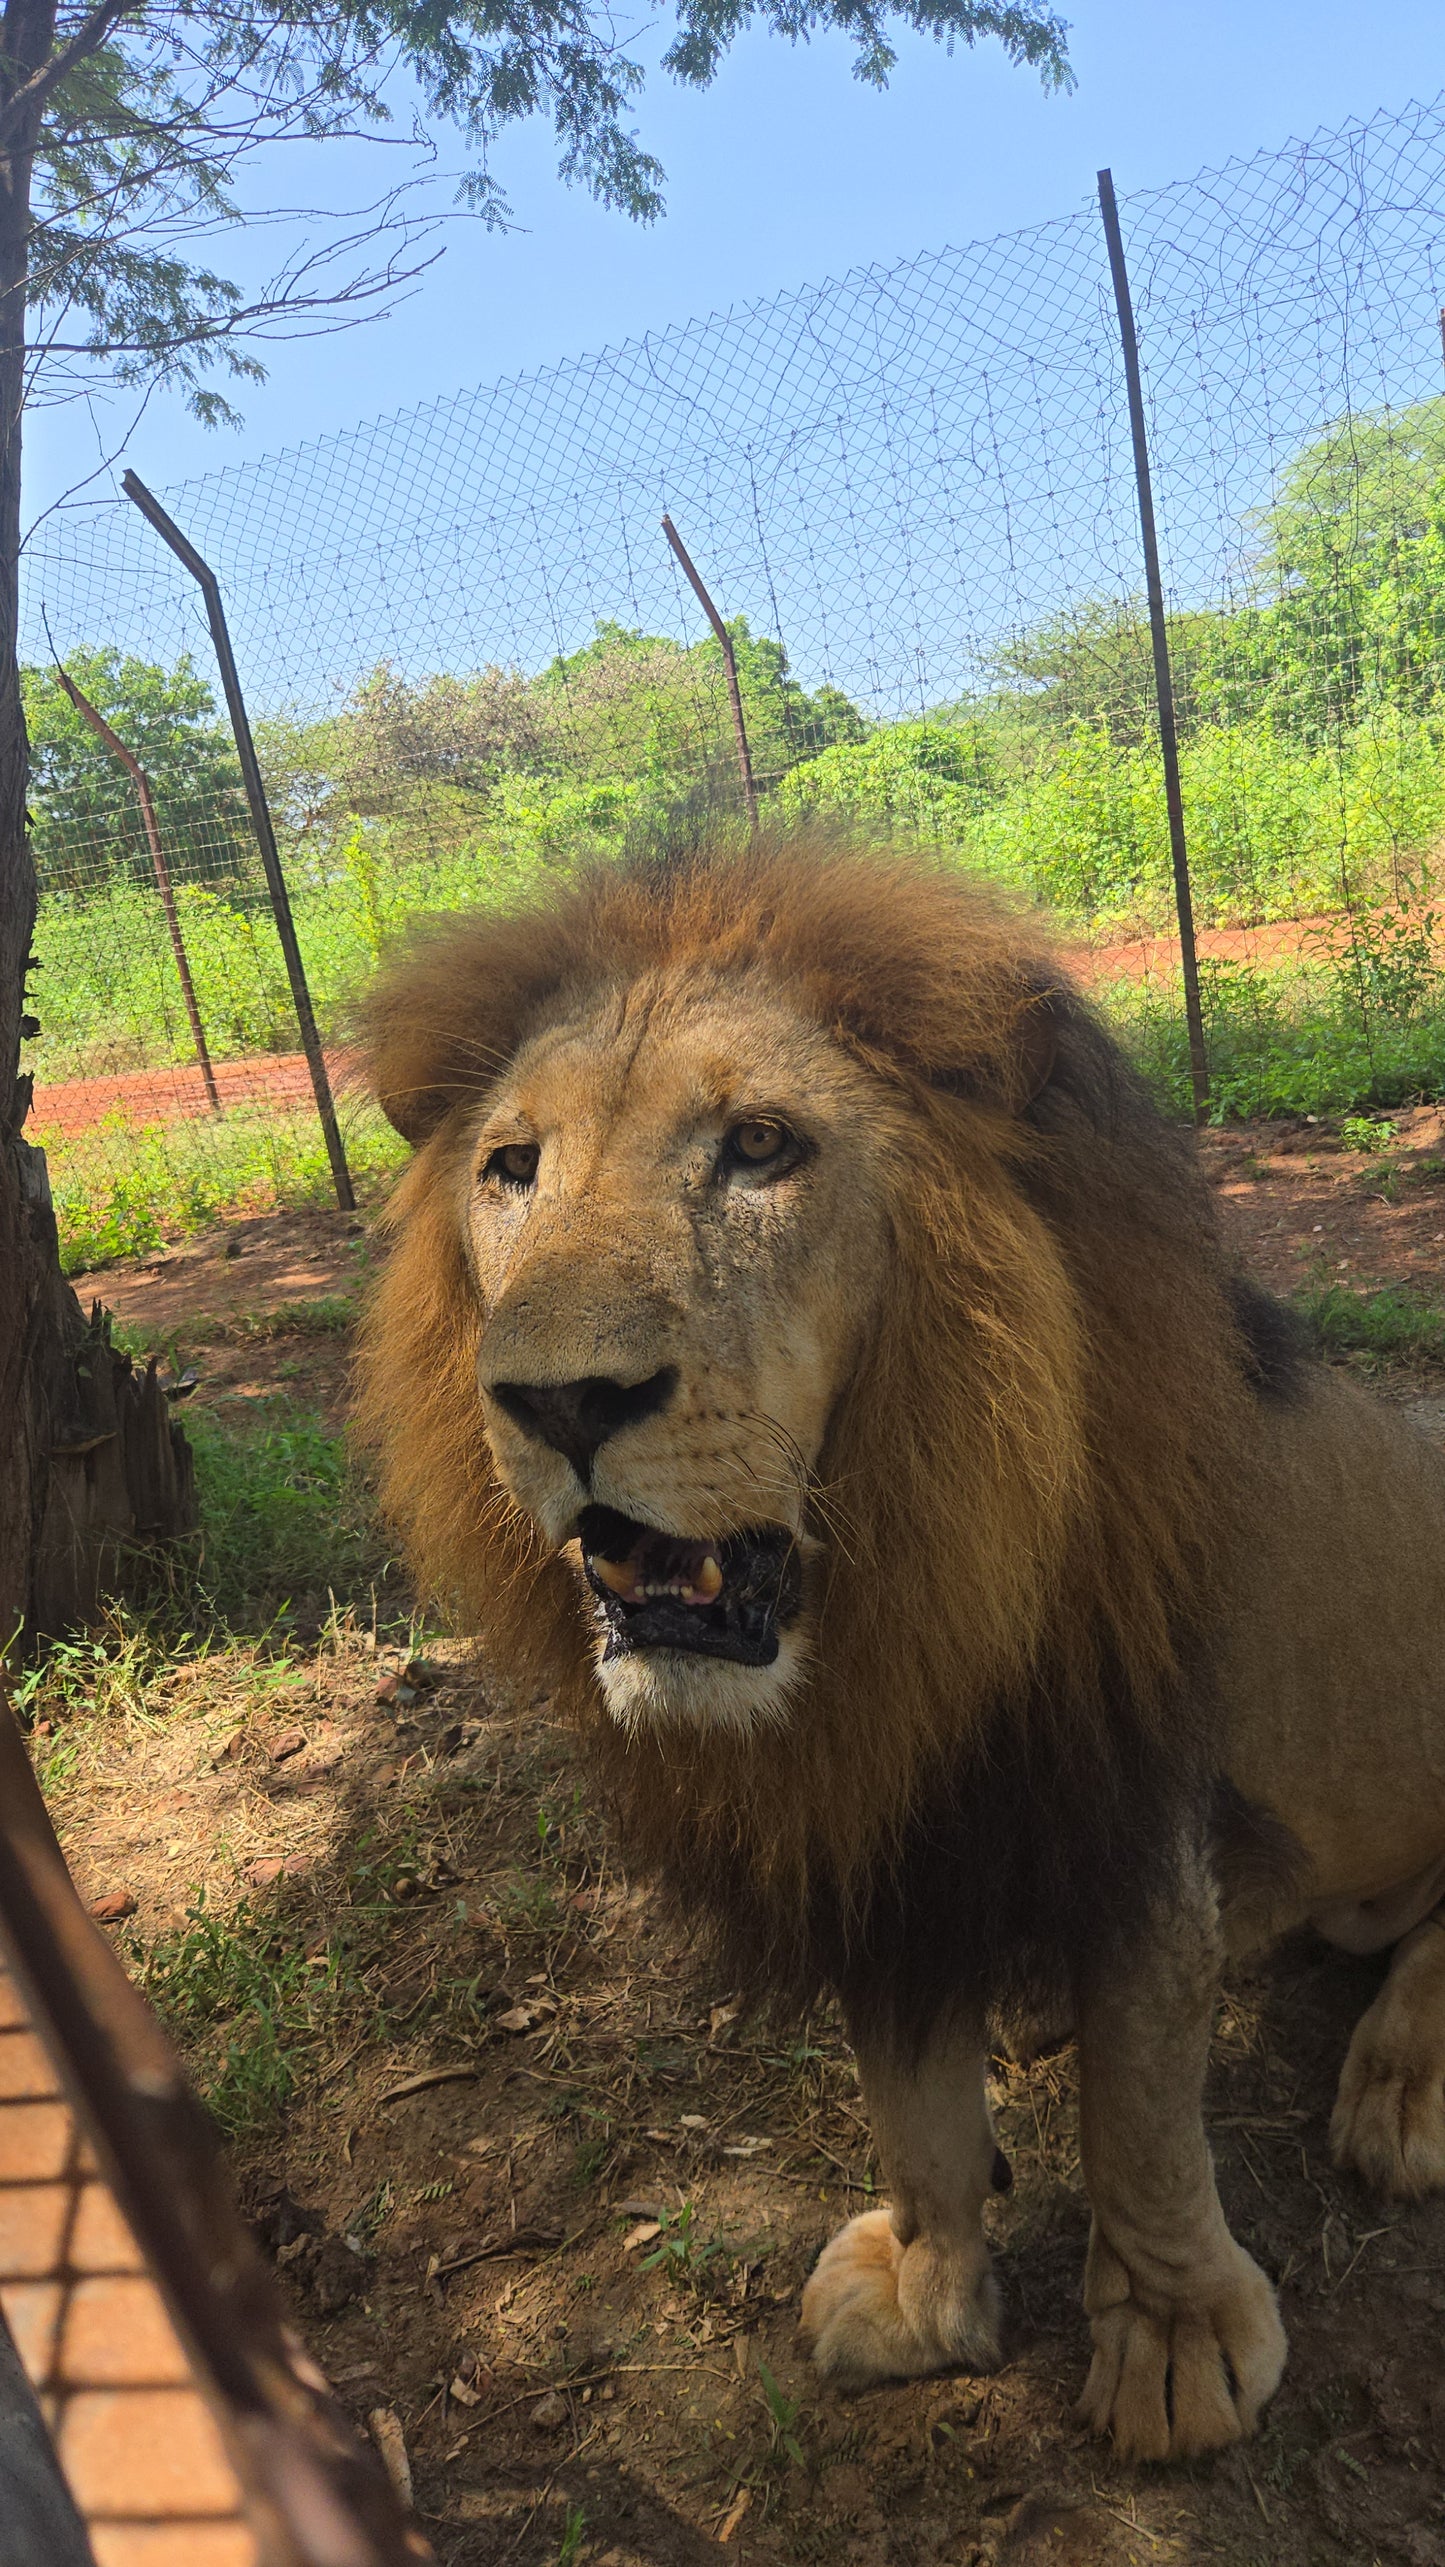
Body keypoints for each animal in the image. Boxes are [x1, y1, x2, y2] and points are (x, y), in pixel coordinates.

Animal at [357, 832, 1445, 2464]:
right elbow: (911, 2100)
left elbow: (1141, 2109)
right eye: (512, 1168)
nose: (556, 1402)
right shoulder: (879, 1826)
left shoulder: (1126, 1803)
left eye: (758, 1145)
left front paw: (1173, 2336)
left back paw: (1400, 2085)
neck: (878, 1609)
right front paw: (930, 2301)